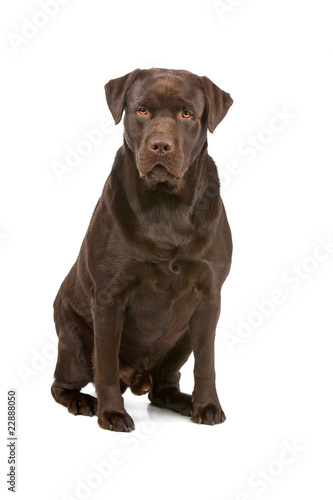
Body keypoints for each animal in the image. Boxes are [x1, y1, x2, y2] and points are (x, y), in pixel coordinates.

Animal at [52, 68, 232, 432]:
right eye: (142, 111)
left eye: (187, 114)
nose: (160, 145)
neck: (166, 206)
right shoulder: (109, 298)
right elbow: (105, 365)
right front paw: (112, 413)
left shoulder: (209, 297)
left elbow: (206, 362)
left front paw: (207, 405)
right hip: (75, 343)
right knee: (62, 383)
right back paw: (83, 401)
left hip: (182, 338)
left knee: (163, 388)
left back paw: (184, 401)